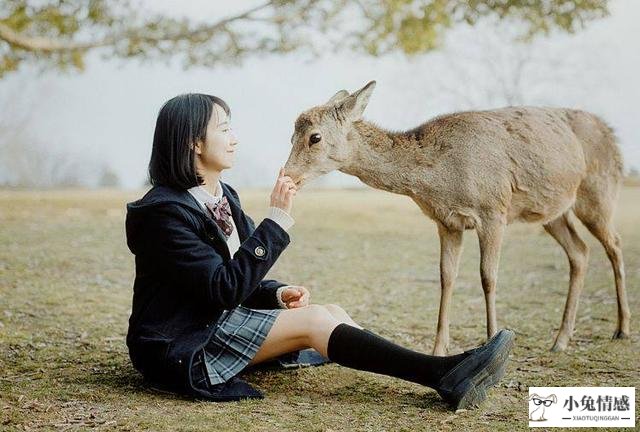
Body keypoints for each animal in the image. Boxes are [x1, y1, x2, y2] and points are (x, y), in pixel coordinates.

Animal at [284, 80, 632, 354]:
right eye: (291, 136)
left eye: (314, 137)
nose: (287, 175)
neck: (441, 181)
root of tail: (612, 135)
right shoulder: (447, 222)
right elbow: (446, 277)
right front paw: (439, 348)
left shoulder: (494, 210)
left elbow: (488, 276)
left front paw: (492, 340)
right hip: (552, 212)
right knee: (580, 251)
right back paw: (561, 340)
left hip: (598, 192)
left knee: (614, 244)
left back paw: (622, 329)